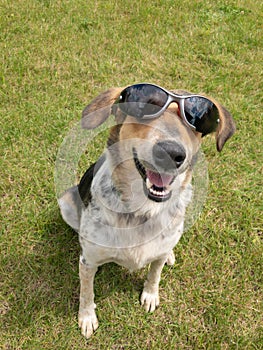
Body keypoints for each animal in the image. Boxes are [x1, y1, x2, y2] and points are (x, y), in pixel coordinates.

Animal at [58, 82, 236, 340]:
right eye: (142, 108)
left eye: (197, 120)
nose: (171, 153)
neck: (143, 210)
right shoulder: (88, 261)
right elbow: (87, 291)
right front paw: (87, 317)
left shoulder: (158, 254)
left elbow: (155, 274)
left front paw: (151, 295)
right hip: (65, 202)